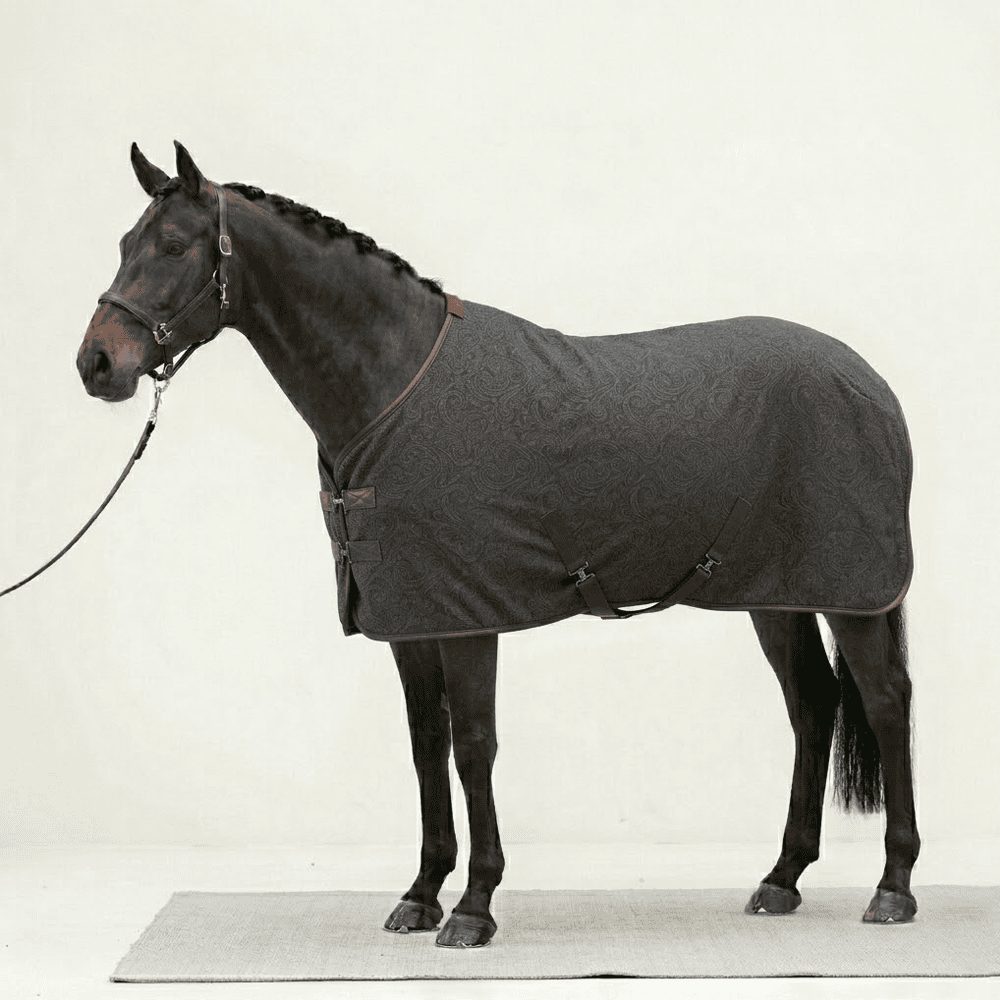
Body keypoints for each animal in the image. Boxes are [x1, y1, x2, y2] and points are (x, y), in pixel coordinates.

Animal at [75, 141, 919, 948]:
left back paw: (893, 887)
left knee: (883, 701)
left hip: (853, 591)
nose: (97, 364)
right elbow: (426, 745)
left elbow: (473, 745)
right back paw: (781, 878)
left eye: (174, 245)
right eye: (124, 242)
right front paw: (420, 895)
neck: (393, 390)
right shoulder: (411, 617)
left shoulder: (469, 614)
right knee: (813, 704)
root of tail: (870, 381)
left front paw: (474, 907)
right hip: (776, 593)